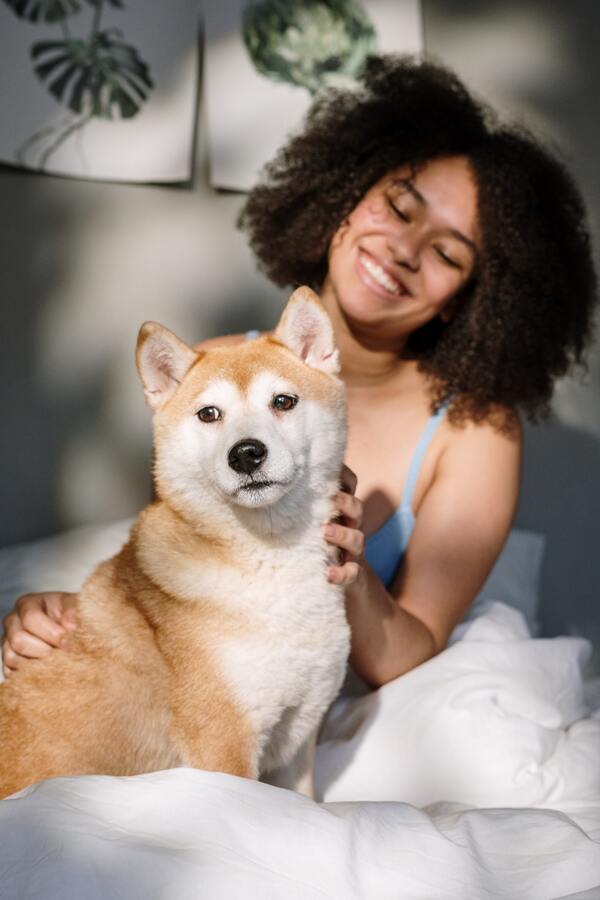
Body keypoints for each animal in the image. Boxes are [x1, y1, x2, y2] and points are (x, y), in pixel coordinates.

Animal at [0, 286, 350, 796]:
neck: (267, 563)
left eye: (283, 401)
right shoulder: (225, 748)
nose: (246, 453)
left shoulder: (298, 741)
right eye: (209, 414)